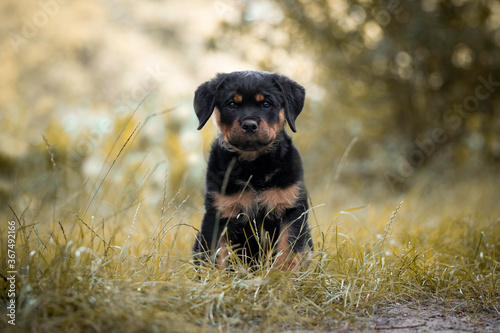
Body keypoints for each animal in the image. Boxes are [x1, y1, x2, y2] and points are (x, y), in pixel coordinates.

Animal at [192, 70, 312, 270]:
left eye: (266, 103)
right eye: (232, 104)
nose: (249, 125)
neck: (254, 167)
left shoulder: (292, 209)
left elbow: (287, 252)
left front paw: (282, 277)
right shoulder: (219, 213)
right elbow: (216, 257)